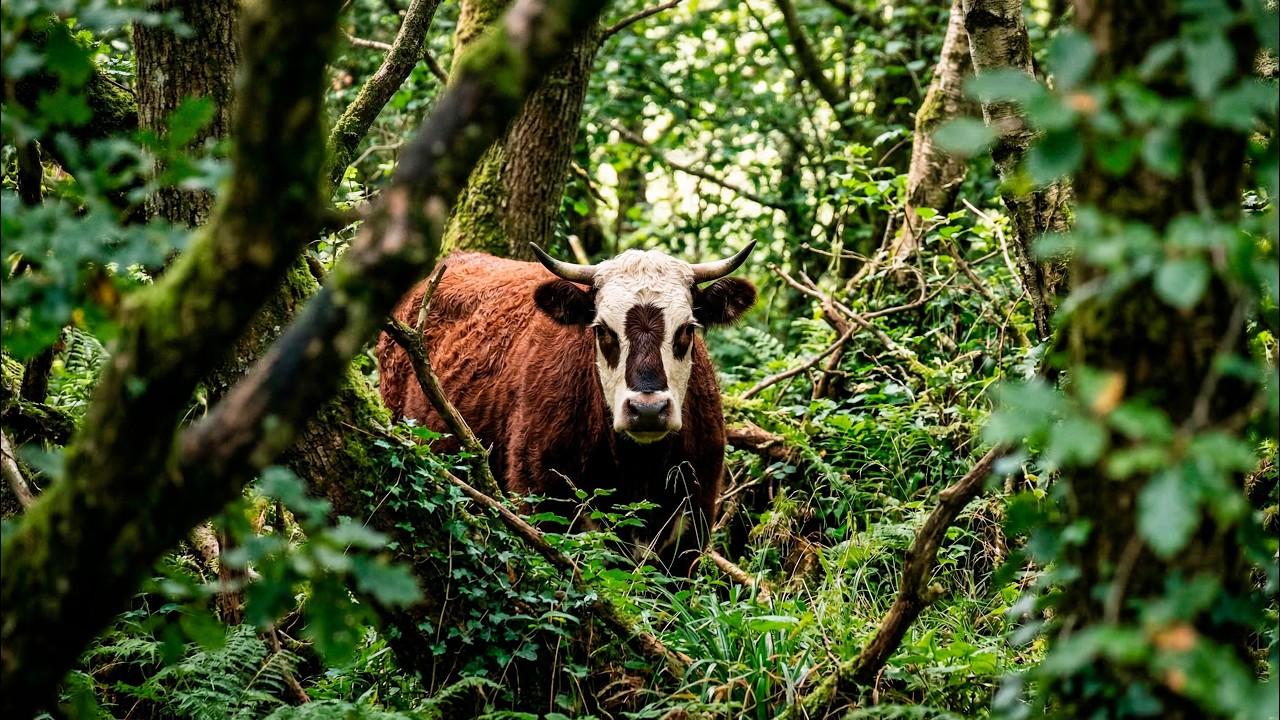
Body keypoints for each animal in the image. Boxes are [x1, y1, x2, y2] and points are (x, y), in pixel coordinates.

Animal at [376, 243, 757, 573]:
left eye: (687, 330)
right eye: (602, 330)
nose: (647, 409)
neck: (638, 469)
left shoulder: (692, 530)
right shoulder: (541, 507)